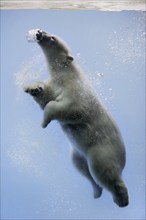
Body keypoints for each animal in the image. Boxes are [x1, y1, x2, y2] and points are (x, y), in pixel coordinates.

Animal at [24, 28, 129, 206]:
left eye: (52, 38)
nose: (39, 32)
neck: (68, 74)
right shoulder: (57, 85)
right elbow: (46, 97)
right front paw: (33, 88)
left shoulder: (78, 94)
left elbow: (65, 108)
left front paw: (44, 122)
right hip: (78, 153)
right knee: (82, 168)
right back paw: (96, 191)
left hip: (102, 149)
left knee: (102, 170)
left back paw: (121, 197)